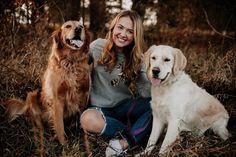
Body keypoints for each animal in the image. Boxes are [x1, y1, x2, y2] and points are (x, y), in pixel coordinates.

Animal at [4, 19, 91, 155]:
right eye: (68, 26)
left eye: (81, 26)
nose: (78, 29)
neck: (71, 61)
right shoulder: (57, 100)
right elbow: (59, 127)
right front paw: (64, 147)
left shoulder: (83, 96)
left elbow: (82, 122)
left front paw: (85, 143)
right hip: (32, 95)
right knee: (37, 125)